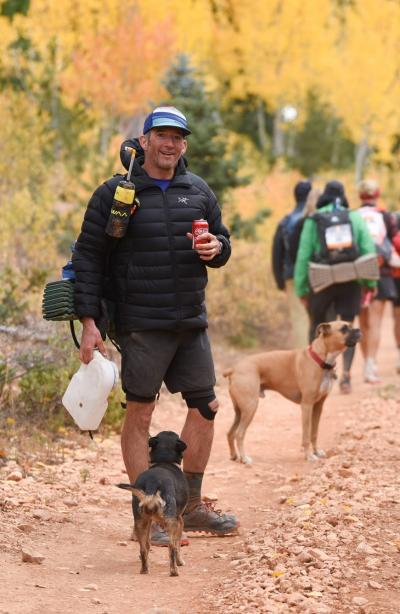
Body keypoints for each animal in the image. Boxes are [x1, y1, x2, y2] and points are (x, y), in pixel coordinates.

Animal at [117, 434, 189, 576]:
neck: (165, 461)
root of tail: (152, 484)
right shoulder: (180, 520)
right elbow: (178, 545)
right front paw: (180, 562)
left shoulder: (150, 521)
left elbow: (148, 543)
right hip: (171, 522)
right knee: (171, 547)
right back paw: (174, 571)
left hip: (140, 522)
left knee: (143, 548)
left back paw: (144, 569)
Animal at [225, 322, 360, 462]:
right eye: (344, 329)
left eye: (350, 326)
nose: (358, 330)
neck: (321, 360)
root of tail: (234, 369)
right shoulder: (306, 406)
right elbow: (306, 435)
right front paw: (309, 456)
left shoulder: (318, 406)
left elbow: (314, 433)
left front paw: (316, 452)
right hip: (250, 407)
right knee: (239, 434)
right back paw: (244, 458)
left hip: (240, 411)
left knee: (230, 433)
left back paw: (234, 455)